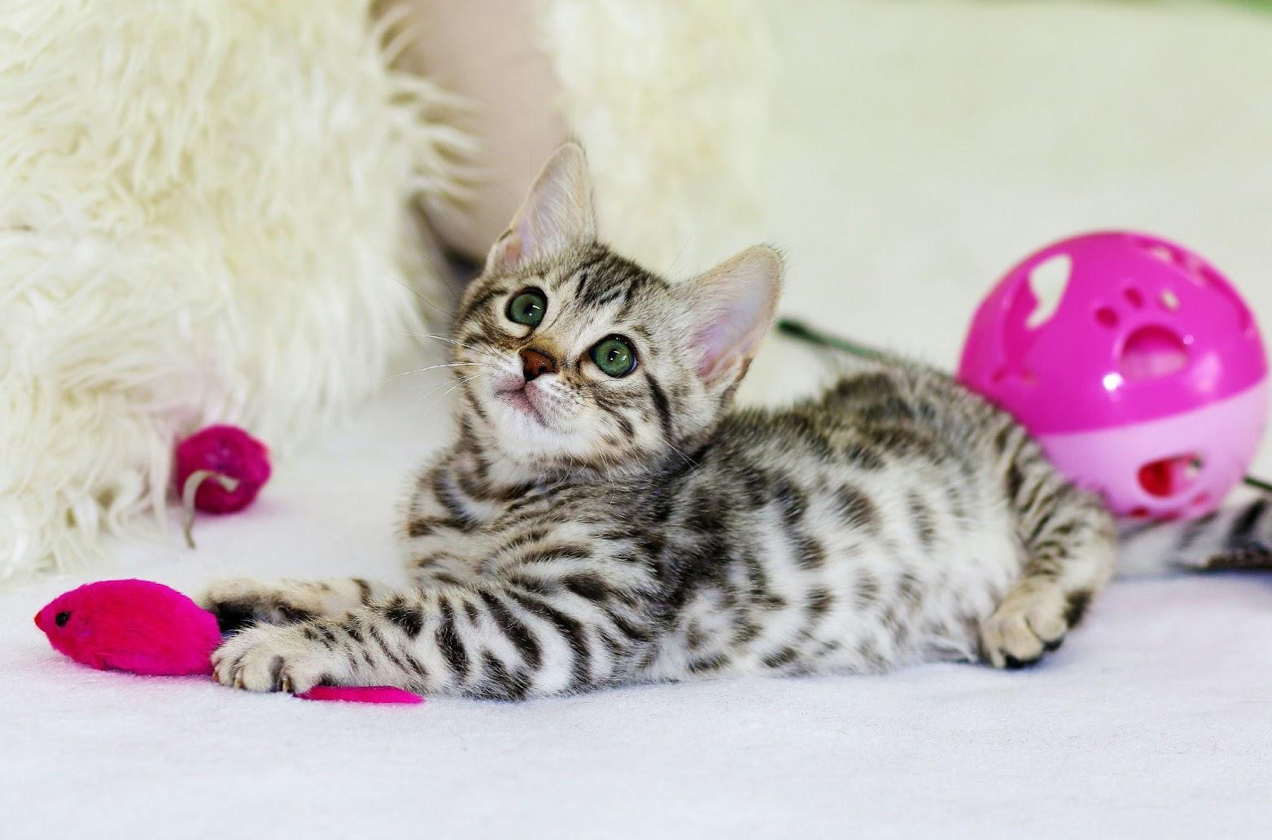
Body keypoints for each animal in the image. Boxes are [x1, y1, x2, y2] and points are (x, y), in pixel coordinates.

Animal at [200, 145, 1261, 702]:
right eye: (527, 308)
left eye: (614, 358)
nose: (537, 363)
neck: (490, 488)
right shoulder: (463, 573)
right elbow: (372, 586)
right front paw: (269, 591)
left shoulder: (560, 617)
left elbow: (411, 620)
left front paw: (289, 644)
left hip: (1020, 477)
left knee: (1087, 518)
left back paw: (1030, 606)